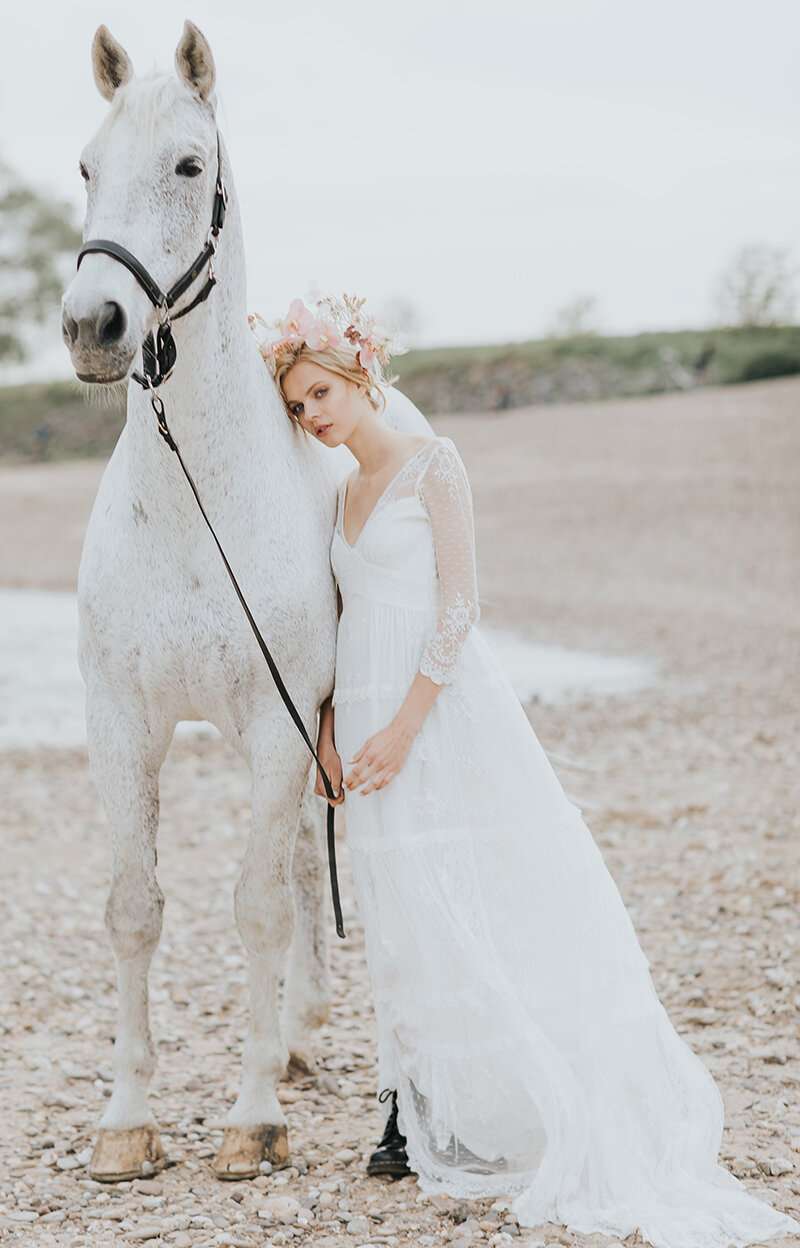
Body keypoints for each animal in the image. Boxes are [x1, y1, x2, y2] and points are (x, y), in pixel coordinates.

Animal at [59, 24, 434, 1183]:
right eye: (85, 167)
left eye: (188, 166)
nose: (93, 324)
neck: (193, 507)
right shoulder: (121, 726)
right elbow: (132, 909)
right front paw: (127, 1117)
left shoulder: (275, 723)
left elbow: (259, 908)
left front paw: (252, 1114)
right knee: (306, 866)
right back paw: (301, 1039)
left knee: (301, 873)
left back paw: (296, 1044)